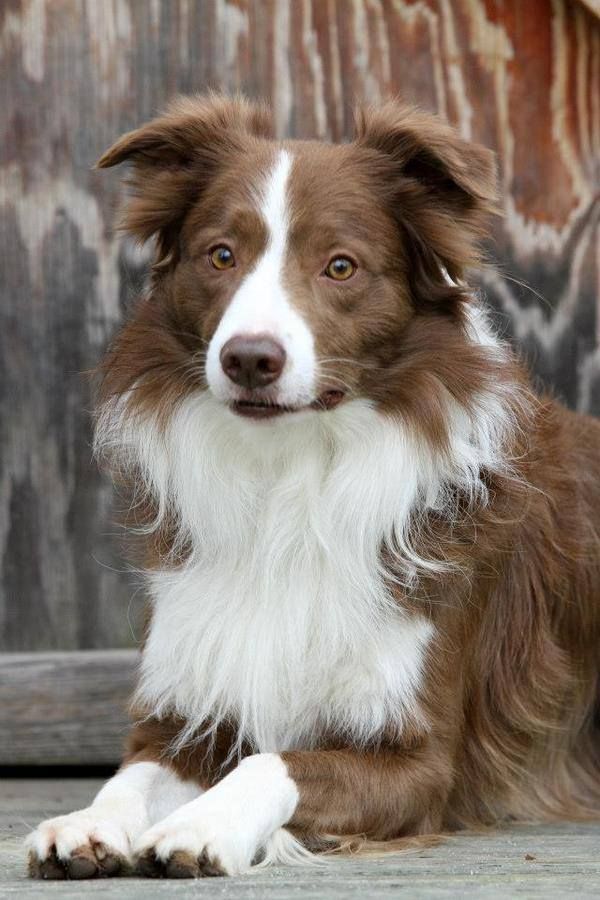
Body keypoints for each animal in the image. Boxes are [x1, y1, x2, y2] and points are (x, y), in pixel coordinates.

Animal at [27, 95, 600, 879]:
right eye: (221, 255)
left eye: (340, 266)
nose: (249, 359)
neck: (289, 476)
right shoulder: (188, 711)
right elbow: (131, 776)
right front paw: (87, 822)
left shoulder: (419, 760)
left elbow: (276, 763)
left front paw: (202, 825)